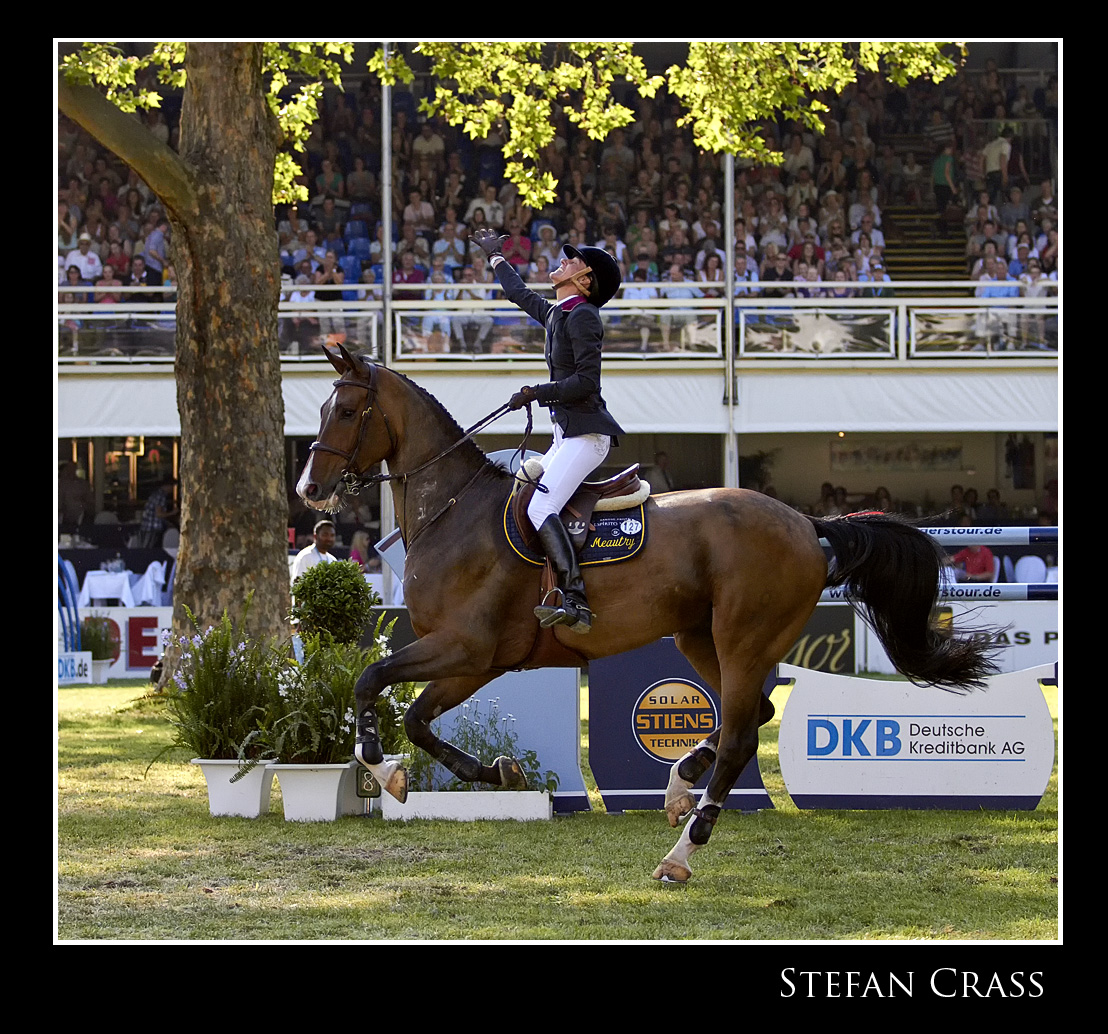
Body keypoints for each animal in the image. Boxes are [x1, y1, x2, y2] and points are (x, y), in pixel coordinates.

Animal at [294, 347, 997, 877]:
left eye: (348, 410)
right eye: (323, 408)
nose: (308, 490)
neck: (454, 509)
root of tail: (807, 524)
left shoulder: (466, 645)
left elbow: (370, 681)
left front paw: (380, 767)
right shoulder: (478, 659)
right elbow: (415, 717)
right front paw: (486, 771)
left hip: (742, 639)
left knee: (743, 733)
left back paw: (683, 850)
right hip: (700, 638)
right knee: (754, 713)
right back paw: (682, 782)